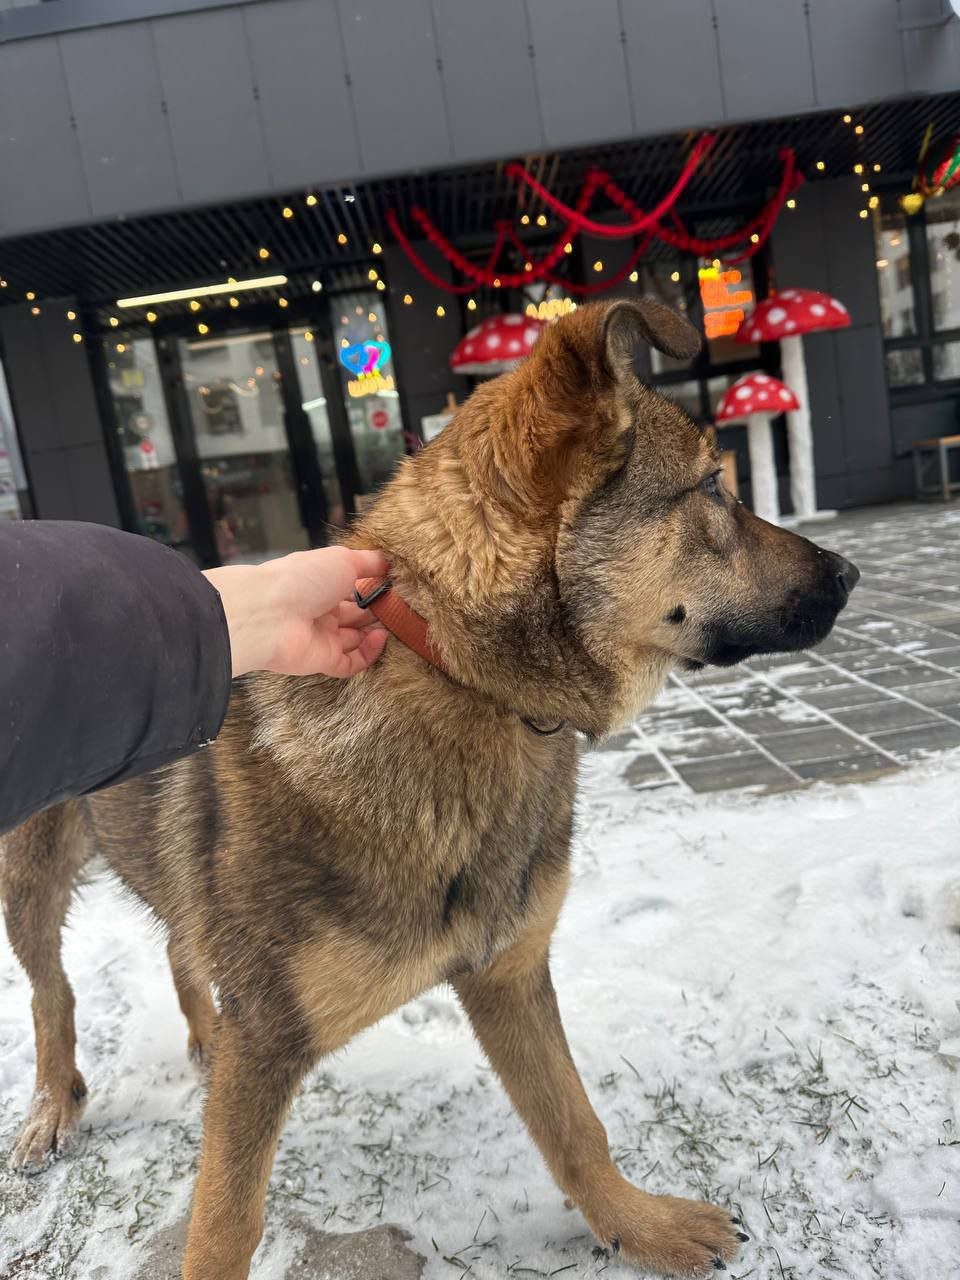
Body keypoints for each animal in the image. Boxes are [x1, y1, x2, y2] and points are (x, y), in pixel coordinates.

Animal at [1, 299, 859, 1279]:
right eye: (714, 488)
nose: (850, 575)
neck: (459, 675)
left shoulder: (508, 975)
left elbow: (575, 1125)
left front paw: (638, 1226)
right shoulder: (269, 1042)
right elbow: (223, 1227)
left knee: (181, 946)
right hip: (29, 877)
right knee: (52, 992)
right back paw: (52, 1106)